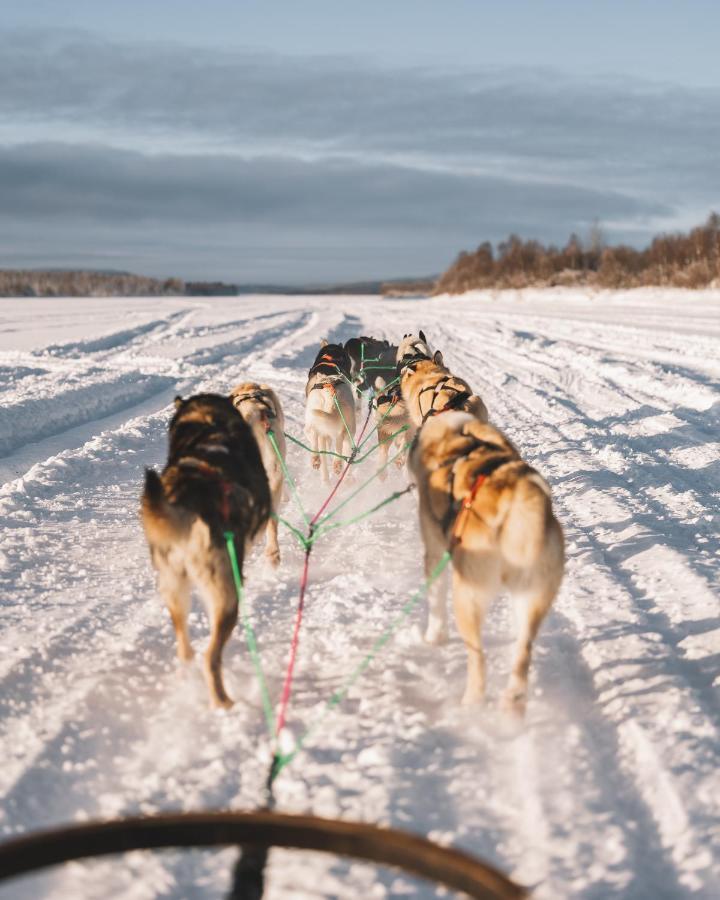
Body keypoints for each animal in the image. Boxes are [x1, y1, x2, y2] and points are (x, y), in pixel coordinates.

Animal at [141, 394, 270, 712]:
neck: (209, 424)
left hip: (173, 589)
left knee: (185, 648)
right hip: (225, 595)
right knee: (210, 656)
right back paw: (224, 703)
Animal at [306, 340, 356, 482]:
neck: (331, 358)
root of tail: (330, 395)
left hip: (311, 417)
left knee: (313, 436)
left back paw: (317, 460)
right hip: (348, 429)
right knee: (339, 443)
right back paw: (337, 464)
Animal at [408, 412, 564, 712]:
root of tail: (520, 500)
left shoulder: (434, 552)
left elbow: (435, 600)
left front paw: (434, 637)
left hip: (467, 596)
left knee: (477, 657)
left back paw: (472, 702)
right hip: (532, 598)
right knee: (523, 651)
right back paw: (513, 702)